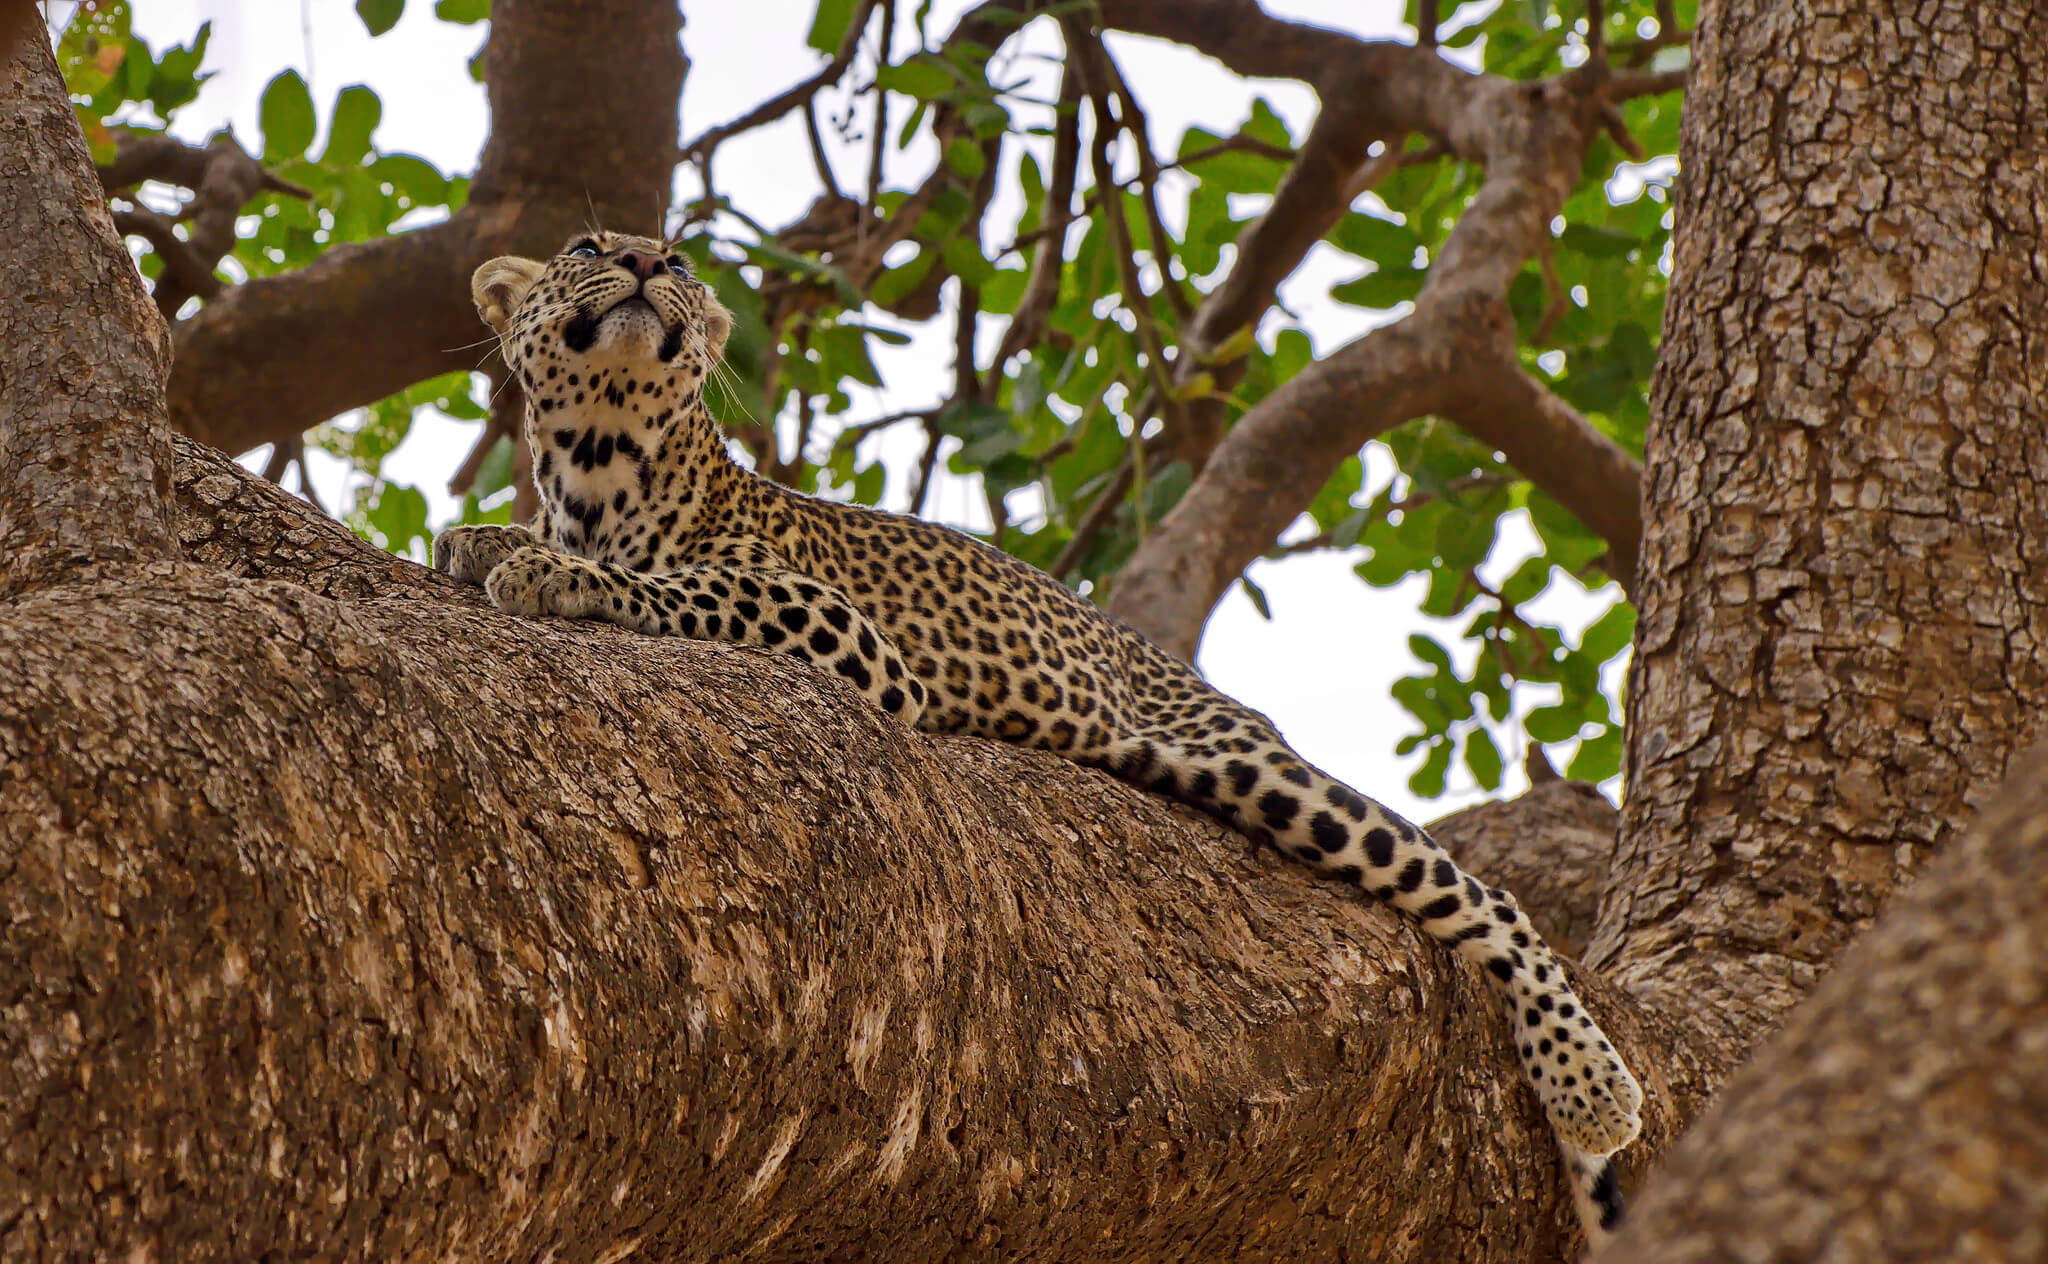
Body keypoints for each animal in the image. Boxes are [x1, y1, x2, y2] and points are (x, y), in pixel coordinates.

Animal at [433, 230, 1644, 1240]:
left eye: (679, 258)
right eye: (591, 247)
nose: (645, 261)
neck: (602, 464)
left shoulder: (845, 635)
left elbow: (682, 585)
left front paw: (546, 568)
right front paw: (484, 535)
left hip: (1263, 769)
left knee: (1484, 898)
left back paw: (1592, 1086)